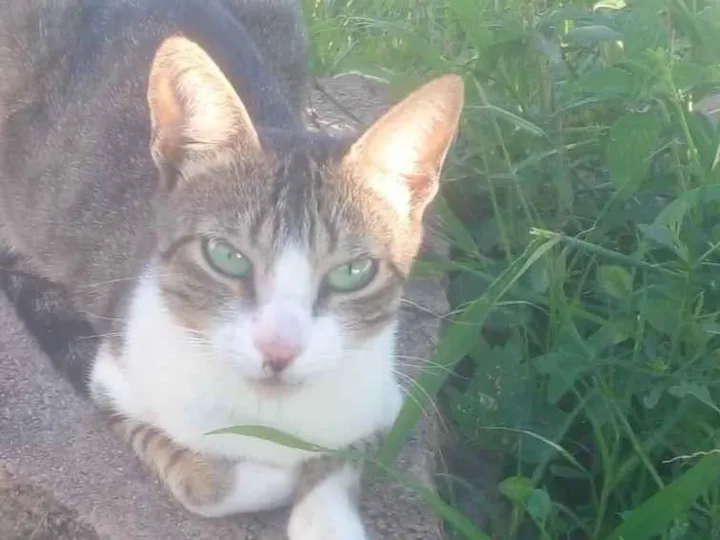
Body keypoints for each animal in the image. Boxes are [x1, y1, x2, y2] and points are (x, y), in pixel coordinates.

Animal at [0, 0, 464, 538]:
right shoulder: (112, 380)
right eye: (226, 256)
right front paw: (270, 474)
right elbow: (211, 485)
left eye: (353, 272)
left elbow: (344, 452)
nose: (279, 350)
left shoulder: (381, 398)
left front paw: (324, 514)